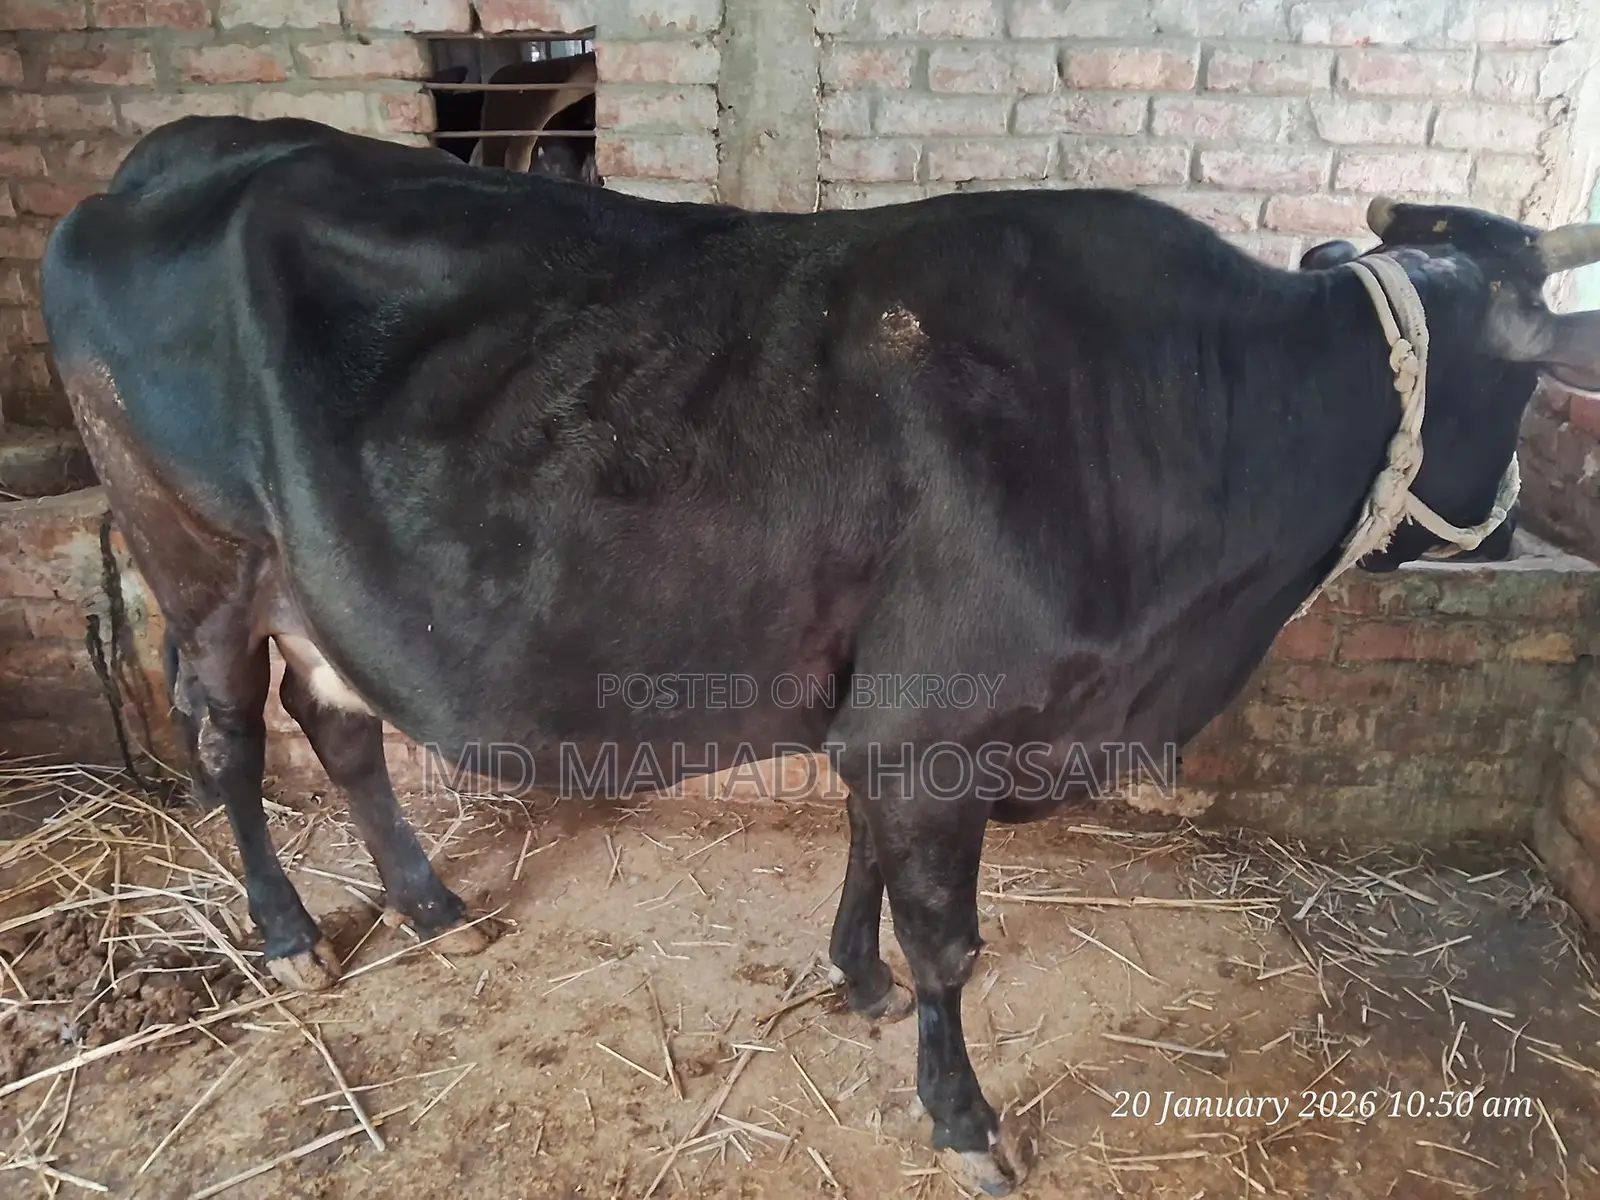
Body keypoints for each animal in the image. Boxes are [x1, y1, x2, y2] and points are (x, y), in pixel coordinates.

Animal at [39, 115, 1600, 1194]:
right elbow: (952, 940)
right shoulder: (939, 723)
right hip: (197, 558)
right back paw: (290, 936)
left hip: (309, 587)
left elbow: (863, 856)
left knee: (344, 724)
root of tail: (169, 154)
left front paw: (855, 980)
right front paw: (963, 1119)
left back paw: (430, 908)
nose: (1507, 527)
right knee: (231, 737)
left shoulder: (891, 715)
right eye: (1520, 384)